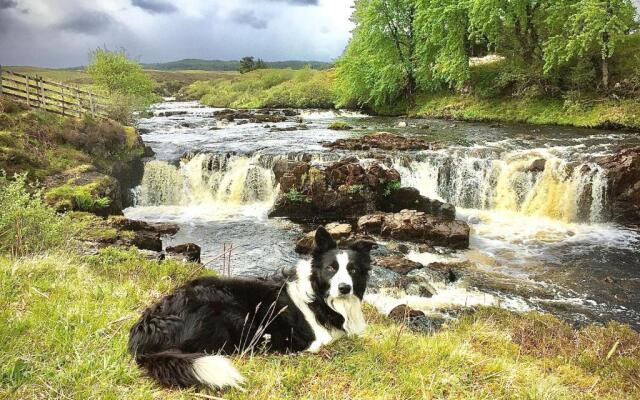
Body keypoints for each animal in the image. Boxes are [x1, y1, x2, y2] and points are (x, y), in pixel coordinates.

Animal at [127, 227, 372, 390]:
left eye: (353, 269)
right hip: (233, 316)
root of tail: (146, 329)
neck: (320, 297)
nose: (344, 288)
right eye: (331, 268)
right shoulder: (318, 339)